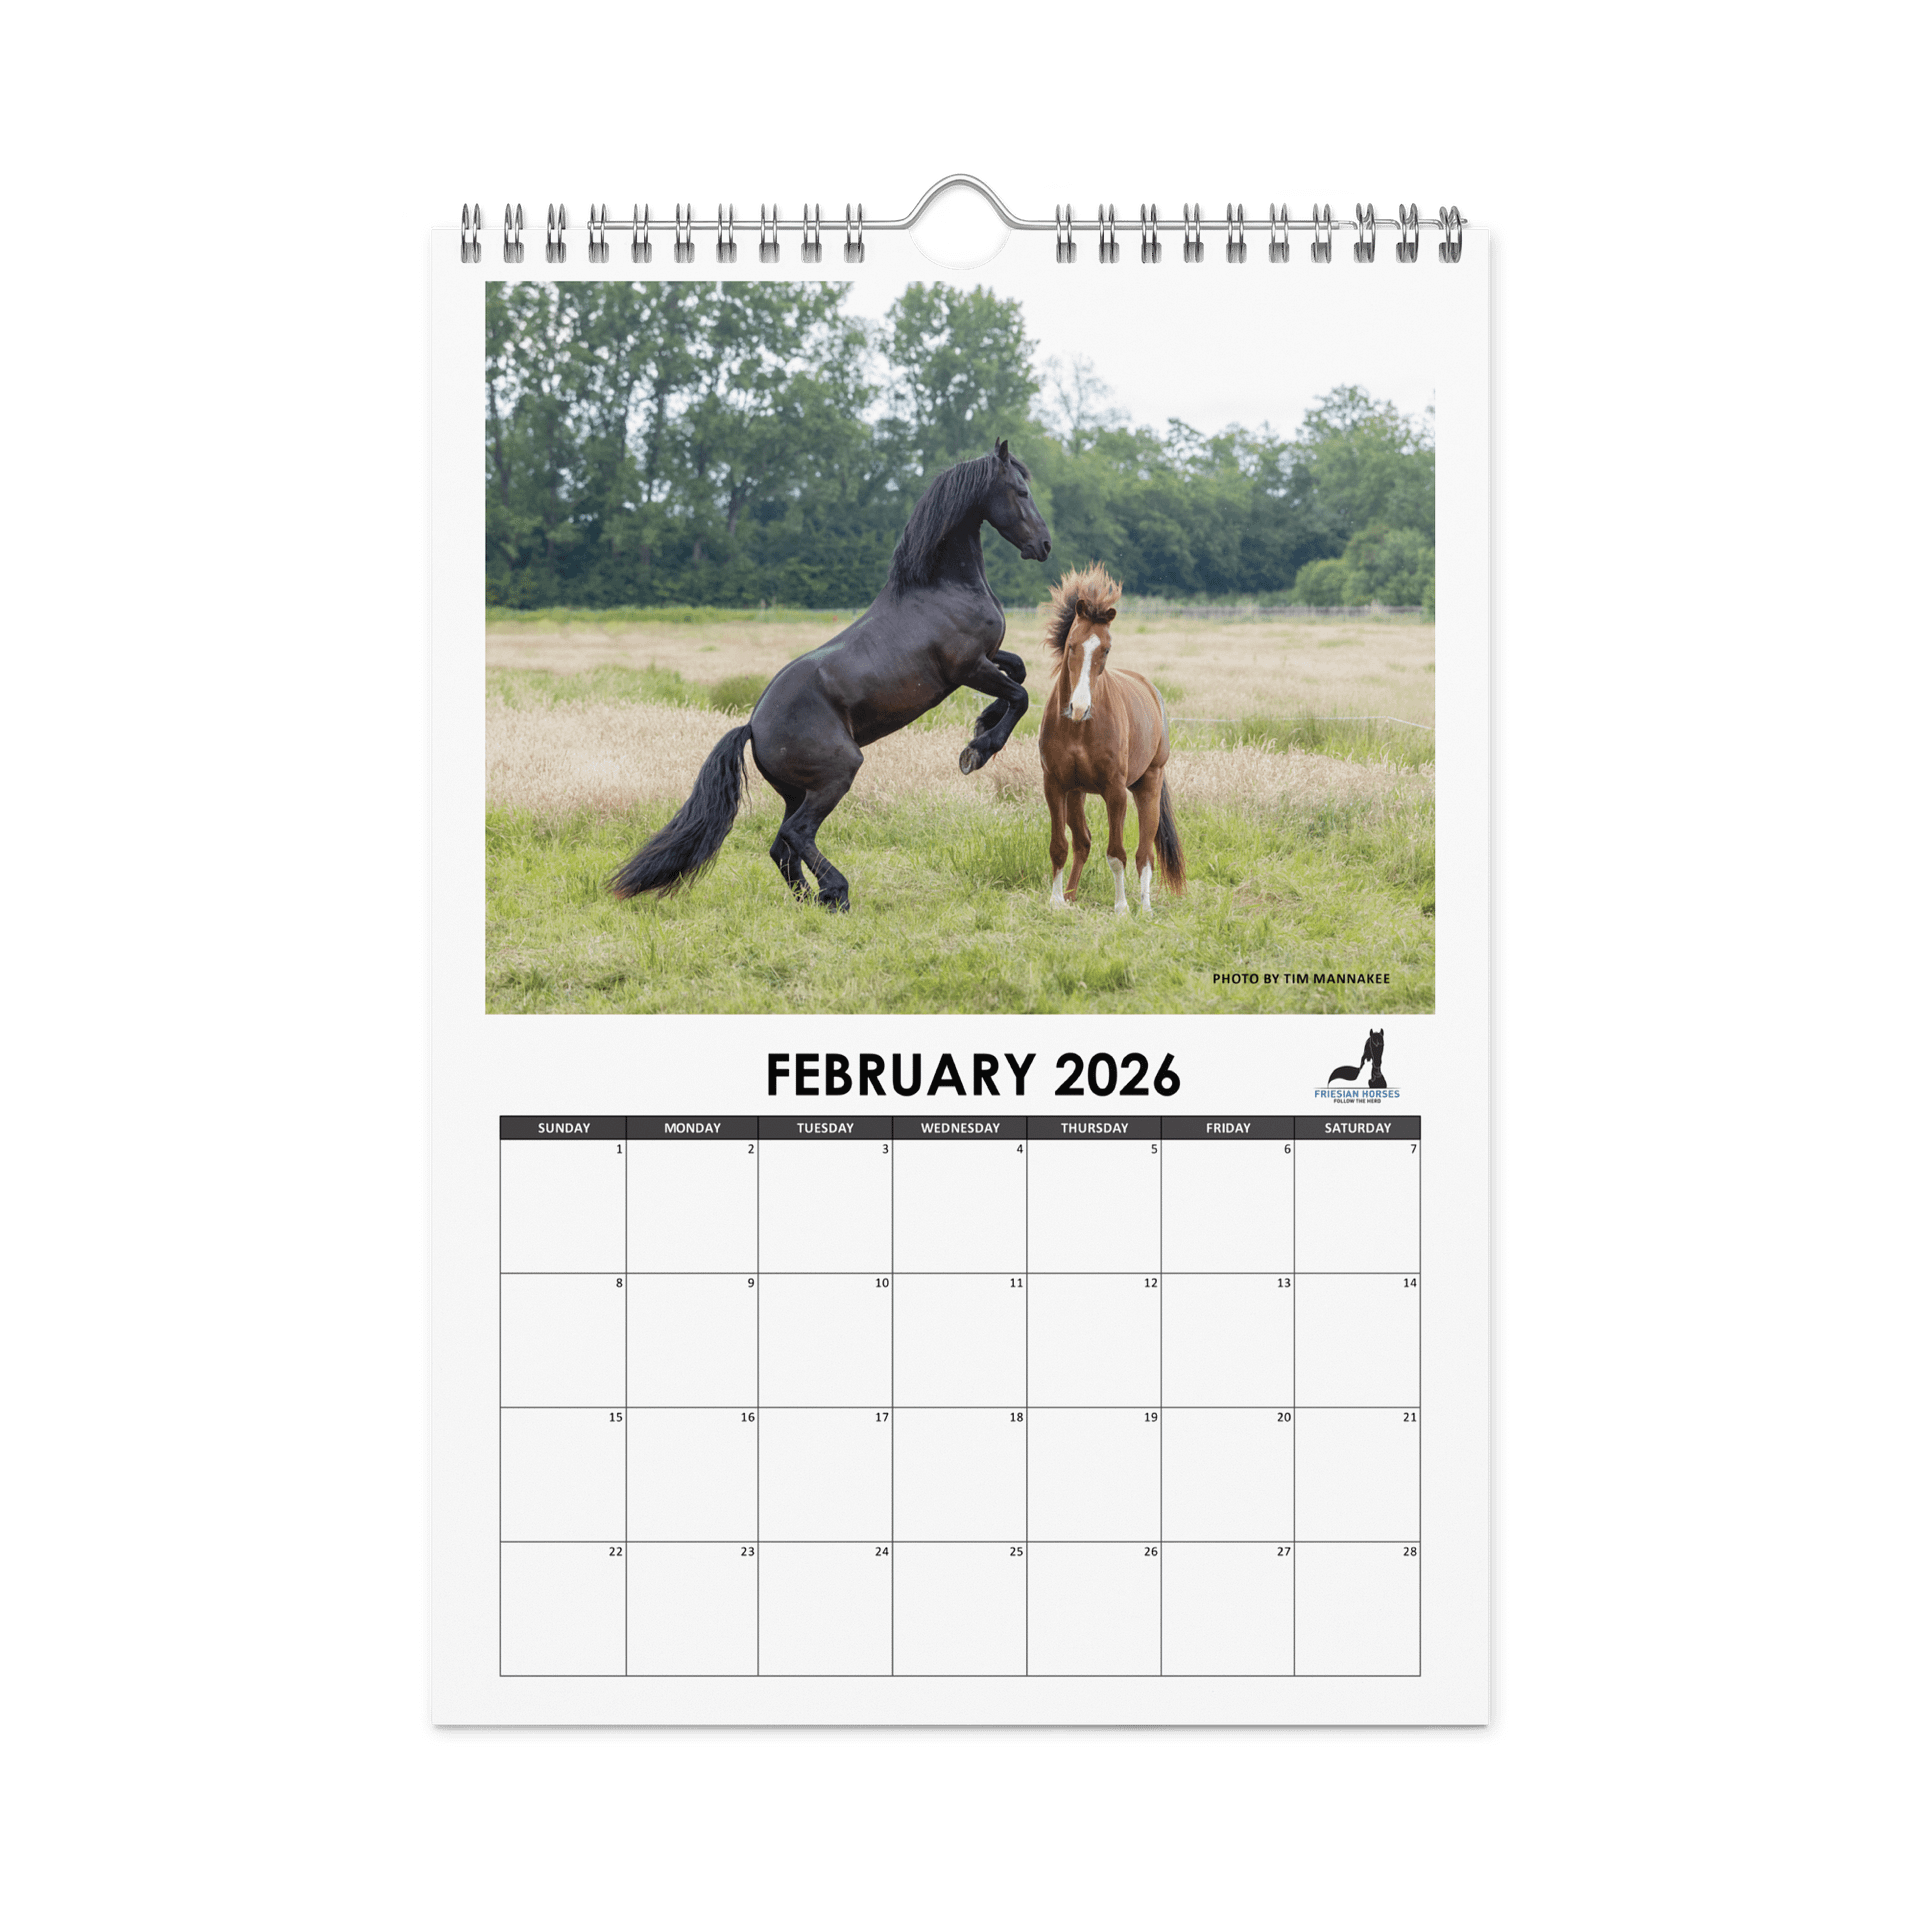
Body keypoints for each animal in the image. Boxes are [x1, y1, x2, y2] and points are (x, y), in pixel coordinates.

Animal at [609, 439, 1051, 912]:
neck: (943, 589)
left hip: (798, 790)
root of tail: (752, 726)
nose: (1044, 545)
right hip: (837, 773)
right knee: (796, 834)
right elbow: (1021, 696)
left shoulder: (989, 657)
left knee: (782, 846)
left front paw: (982, 724)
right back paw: (836, 892)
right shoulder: (968, 667)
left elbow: (1019, 672)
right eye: (1021, 491)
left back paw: (810, 900)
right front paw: (977, 751)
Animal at [1036, 563, 1186, 916]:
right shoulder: (1055, 785)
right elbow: (1059, 845)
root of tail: (1150, 689)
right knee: (1083, 841)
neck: (1079, 729)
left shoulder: (1115, 791)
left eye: (1106, 649)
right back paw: (1071, 895)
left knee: (1145, 854)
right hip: (1076, 793)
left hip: (1148, 785)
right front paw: (1055, 901)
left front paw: (1121, 908)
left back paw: (1144, 907)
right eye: (1072, 645)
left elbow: (1117, 853)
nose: (1079, 708)